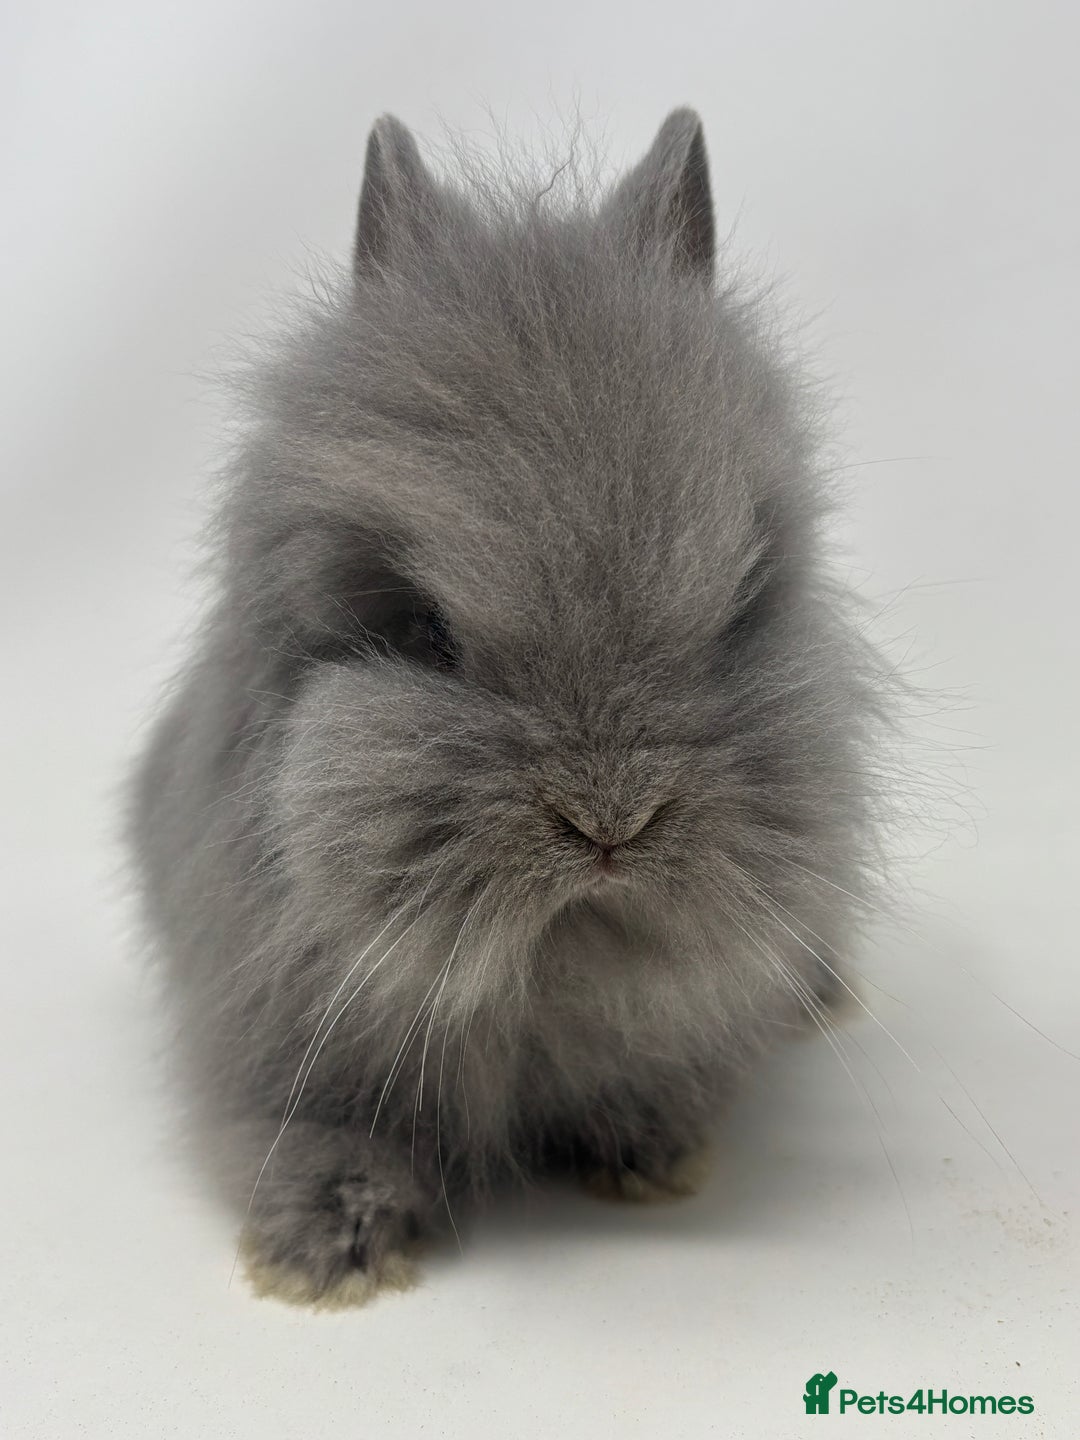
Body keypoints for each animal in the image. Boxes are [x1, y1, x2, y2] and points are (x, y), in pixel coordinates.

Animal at [128, 108, 887, 1308]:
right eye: (422, 629)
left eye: (739, 605)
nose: (610, 824)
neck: (544, 975)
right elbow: (315, 1137)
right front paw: (326, 1253)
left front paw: (651, 1155)